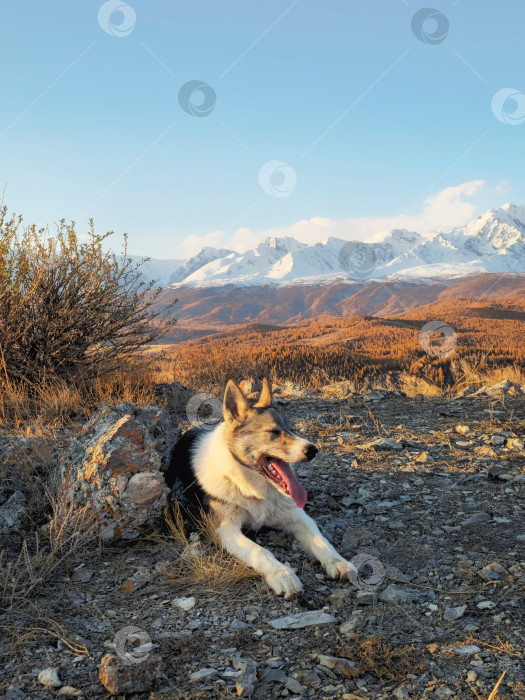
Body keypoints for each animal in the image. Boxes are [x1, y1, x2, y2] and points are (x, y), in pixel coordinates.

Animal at [166, 378, 358, 596]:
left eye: (292, 429)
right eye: (273, 432)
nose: (313, 450)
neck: (251, 488)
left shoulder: (297, 516)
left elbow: (321, 540)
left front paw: (338, 562)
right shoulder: (226, 530)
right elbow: (261, 551)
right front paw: (282, 574)